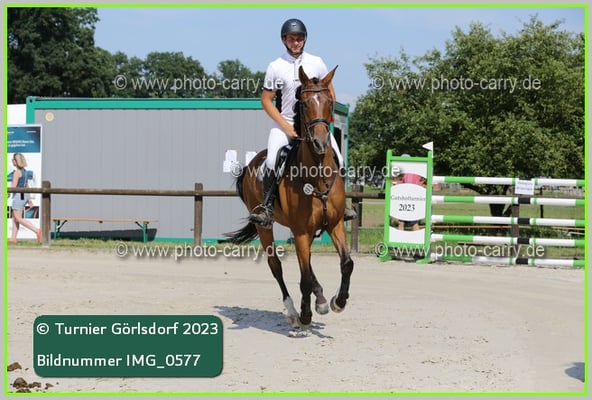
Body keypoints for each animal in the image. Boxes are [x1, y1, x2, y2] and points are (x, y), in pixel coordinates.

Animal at [225, 66, 354, 329]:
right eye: (303, 103)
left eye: (330, 101)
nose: (320, 142)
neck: (317, 175)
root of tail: (251, 164)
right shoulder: (301, 231)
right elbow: (302, 277)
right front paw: (305, 315)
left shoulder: (334, 224)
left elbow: (346, 263)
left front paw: (338, 301)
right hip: (266, 227)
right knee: (276, 266)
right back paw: (294, 311)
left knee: (308, 264)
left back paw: (321, 299)